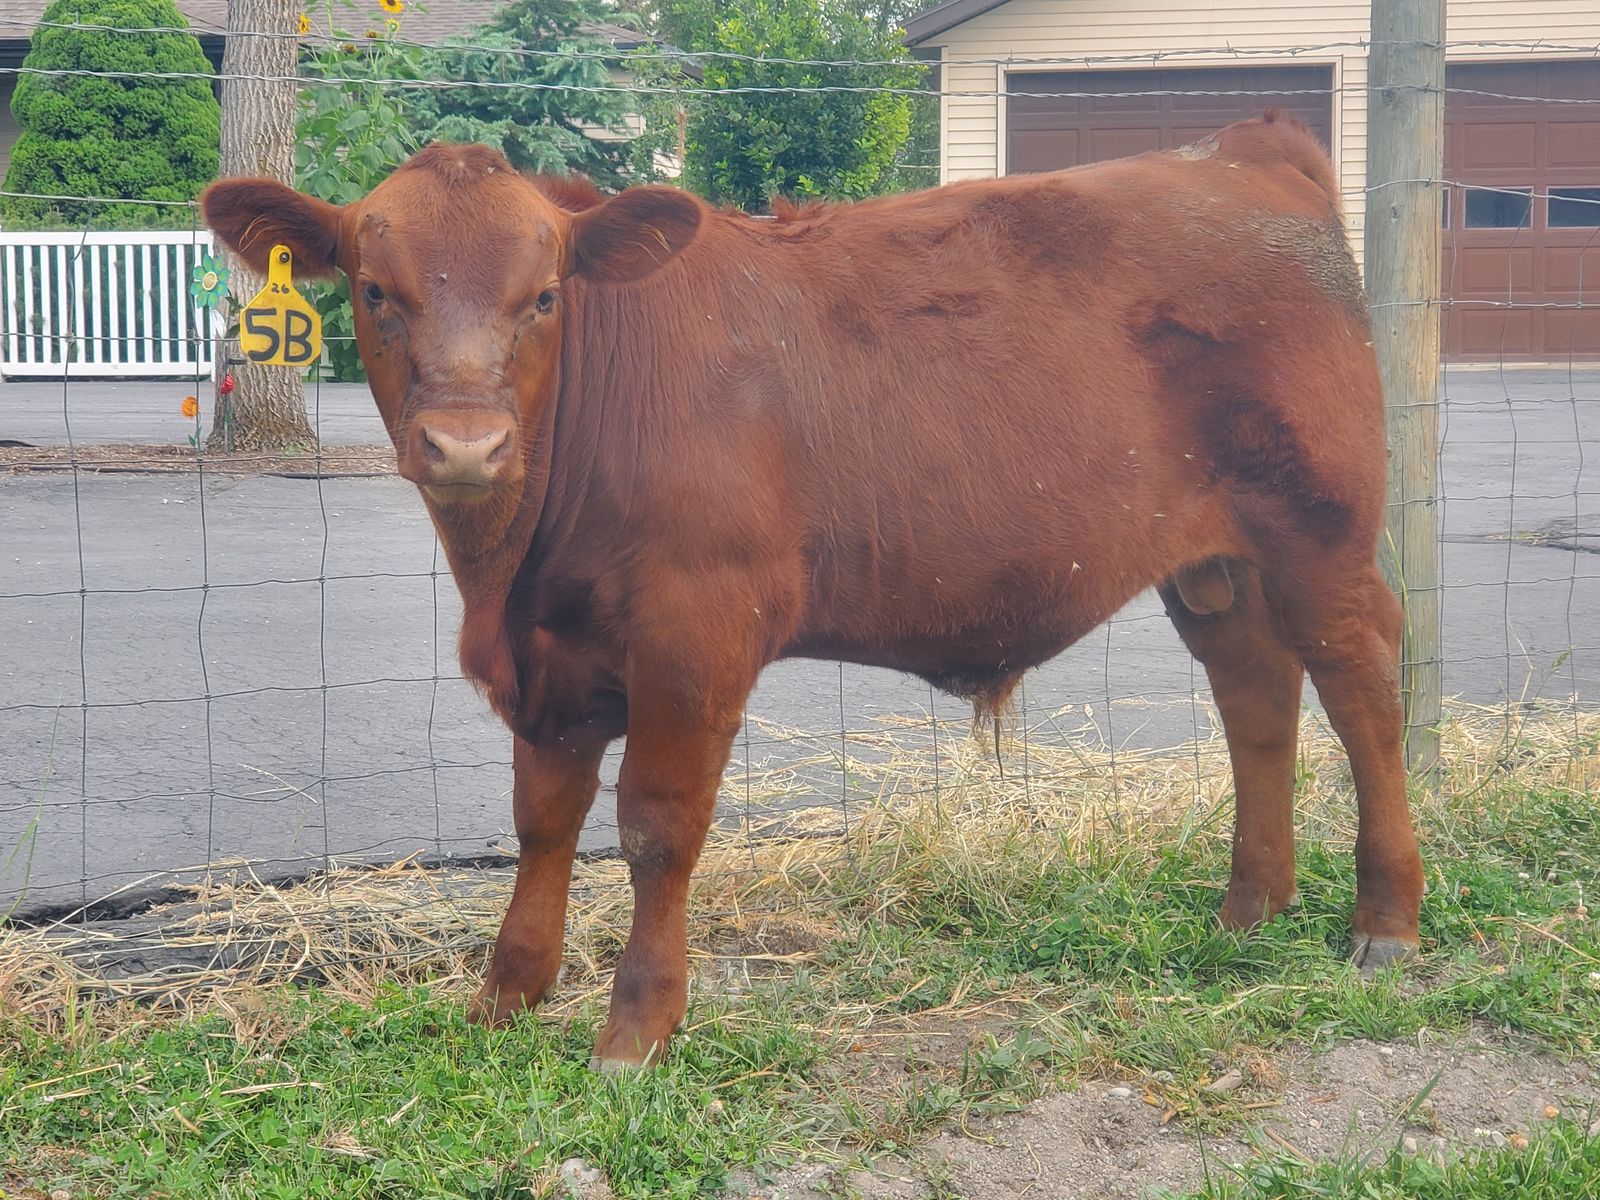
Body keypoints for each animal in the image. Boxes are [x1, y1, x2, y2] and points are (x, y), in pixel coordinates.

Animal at [203, 111, 1424, 1072]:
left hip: (1320, 535)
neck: (512, 573)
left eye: (544, 296)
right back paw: (1249, 912)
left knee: (1363, 696)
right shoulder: (549, 657)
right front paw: (507, 998)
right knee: (1256, 701)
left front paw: (635, 1032)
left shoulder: (694, 638)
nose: (466, 444)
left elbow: (655, 829)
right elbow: (542, 820)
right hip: (1214, 565)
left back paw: (1385, 922)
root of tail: (1244, 150)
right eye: (376, 291)